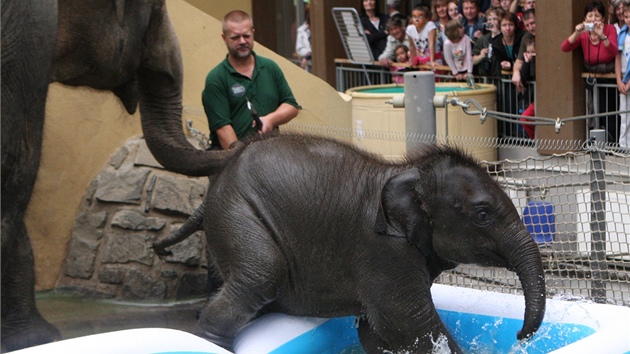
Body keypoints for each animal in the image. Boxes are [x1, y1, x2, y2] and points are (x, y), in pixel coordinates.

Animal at [154, 134, 548, 352]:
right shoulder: (383, 252)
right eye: (482, 214)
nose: (520, 335)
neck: (407, 170)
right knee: (261, 273)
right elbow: (413, 327)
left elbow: (374, 332)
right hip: (237, 212)